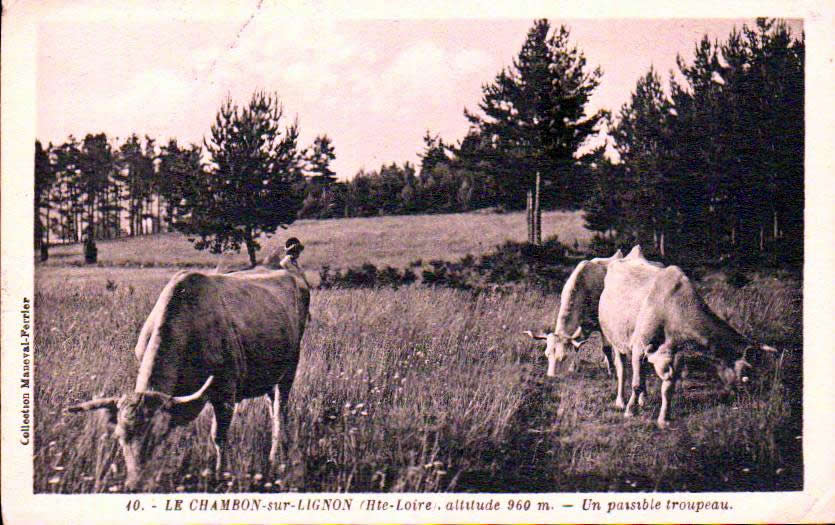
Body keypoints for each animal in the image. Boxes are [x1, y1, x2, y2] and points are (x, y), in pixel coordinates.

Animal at [68, 260, 310, 490]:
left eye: (159, 435)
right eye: (120, 436)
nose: (136, 485)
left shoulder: (225, 394)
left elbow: (219, 437)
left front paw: (220, 475)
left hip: (290, 369)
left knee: (280, 410)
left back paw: (276, 454)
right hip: (271, 375)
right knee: (272, 405)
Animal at [600, 246, 776, 426]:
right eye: (746, 373)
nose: (746, 399)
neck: (672, 307)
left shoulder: (673, 353)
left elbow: (667, 387)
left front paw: (664, 419)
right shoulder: (639, 347)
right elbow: (636, 384)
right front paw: (630, 410)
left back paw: (643, 400)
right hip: (614, 337)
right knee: (622, 369)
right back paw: (621, 401)